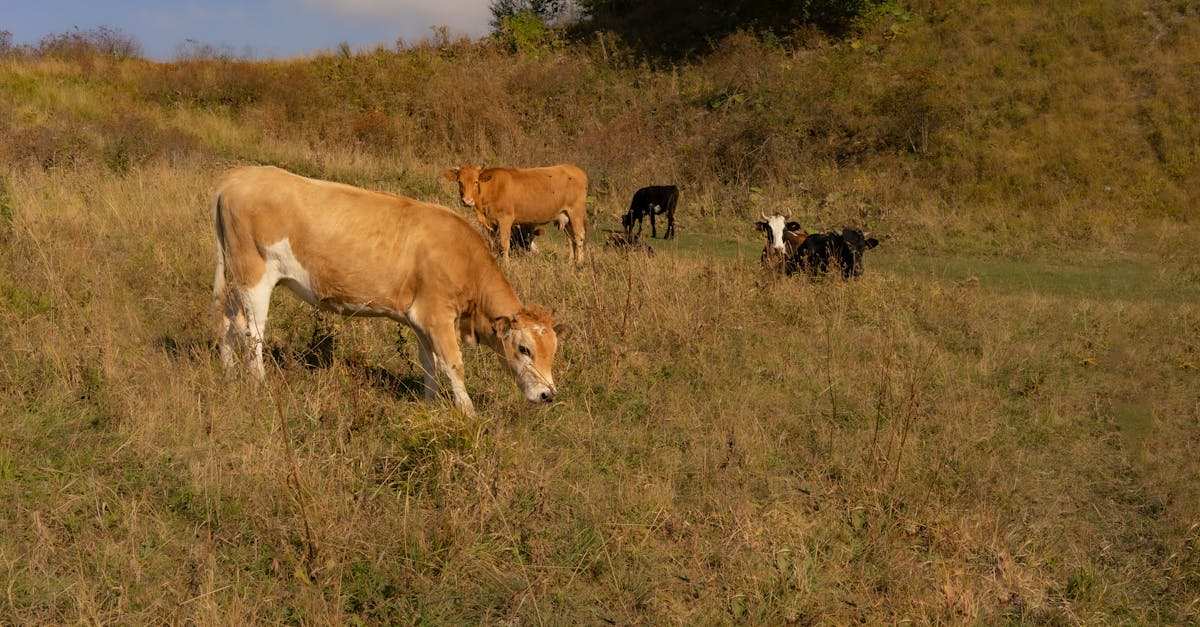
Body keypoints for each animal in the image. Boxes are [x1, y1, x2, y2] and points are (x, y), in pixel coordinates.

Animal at [211, 165, 569, 416]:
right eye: (524, 349)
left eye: (552, 350)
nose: (548, 394)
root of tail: (238, 176)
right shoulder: (437, 315)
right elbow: (453, 365)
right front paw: (470, 416)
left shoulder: (421, 320)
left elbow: (429, 365)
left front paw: (429, 406)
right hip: (255, 275)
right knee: (252, 333)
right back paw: (258, 385)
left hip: (236, 275)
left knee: (228, 320)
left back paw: (228, 373)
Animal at [443, 164, 588, 265]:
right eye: (459, 181)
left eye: (476, 181)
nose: (467, 201)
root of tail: (576, 169)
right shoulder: (489, 223)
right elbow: (491, 244)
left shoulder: (505, 219)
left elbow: (504, 243)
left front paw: (506, 265)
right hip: (565, 215)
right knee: (570, 238)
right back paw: (570, 263)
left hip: (576, 212)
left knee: (579, 236)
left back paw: (580, 264)